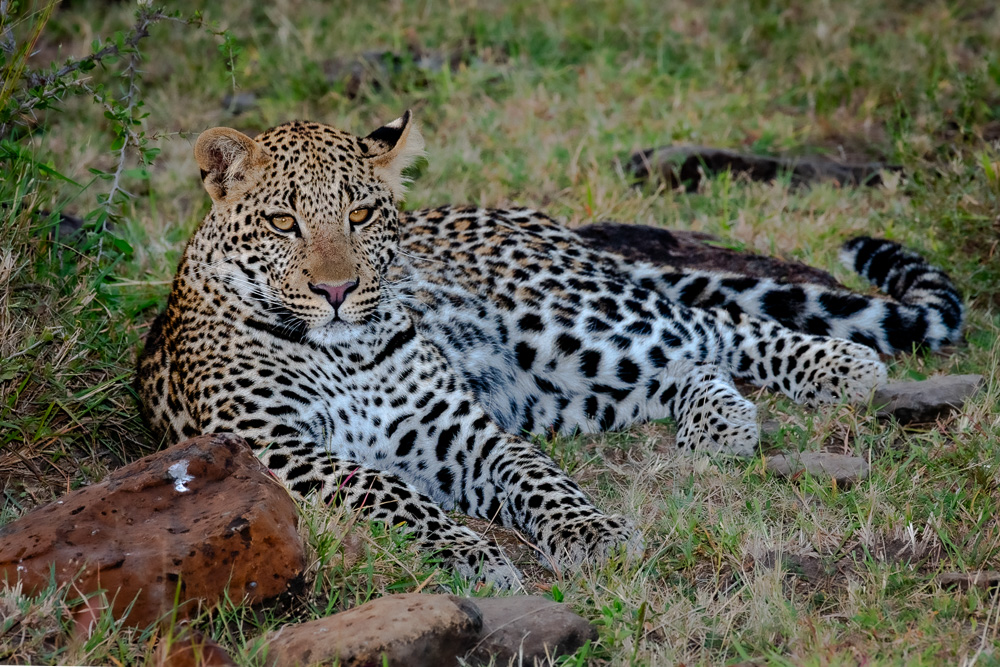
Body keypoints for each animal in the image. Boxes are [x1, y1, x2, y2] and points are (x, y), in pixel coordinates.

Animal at [137, 111, 964, 587]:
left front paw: (589, 532)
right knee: (687, 362)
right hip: (559, 383)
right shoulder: (275, 449)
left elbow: (533, 475)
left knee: (713, 324)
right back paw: (723, 423)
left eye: (362, 214)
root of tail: (538, 219)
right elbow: (384, 487)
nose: (338, 289)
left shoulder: (453, 426)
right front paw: (471, 555)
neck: (340, 350)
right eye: (283, 222)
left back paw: (840, 367)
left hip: (566, 323)